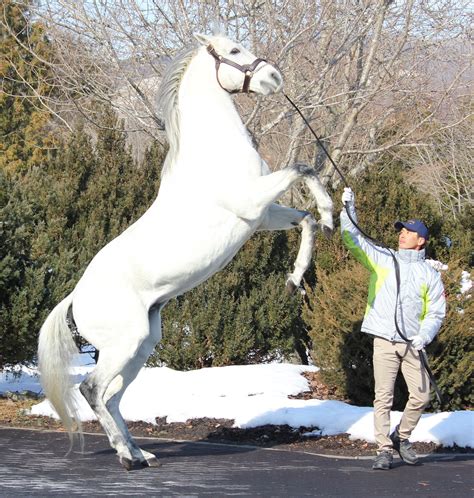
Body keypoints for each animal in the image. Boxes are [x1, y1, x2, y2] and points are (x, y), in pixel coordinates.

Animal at [38, 34, 334, 470]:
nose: (273, 78)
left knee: (113, 397)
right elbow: (303, 168)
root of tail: (75, 299)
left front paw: (296, 275)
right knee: (93, 391)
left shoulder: (261, 217)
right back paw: (127, 458)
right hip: (124, 344)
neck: (212, 153)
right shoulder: (252, 202)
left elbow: (306, 220)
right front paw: (331, 212)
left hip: (141, 346)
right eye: (233, 52)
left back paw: (140, 452)